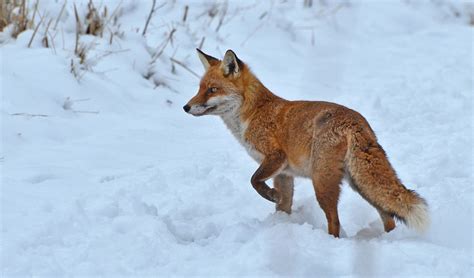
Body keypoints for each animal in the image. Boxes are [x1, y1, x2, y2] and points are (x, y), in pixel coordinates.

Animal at [183, 48, 428, 236]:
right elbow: (283, 205)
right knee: (388, 215)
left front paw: (271, 196)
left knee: (335, 221)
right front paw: (279, 225)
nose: (186, 107)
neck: (252, 114)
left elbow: (254, 181)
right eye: (199, 88)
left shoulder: (275, 157)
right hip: (359, 184)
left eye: (212, 89)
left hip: (322, 183)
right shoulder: (284, 173)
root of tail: (356, 121)